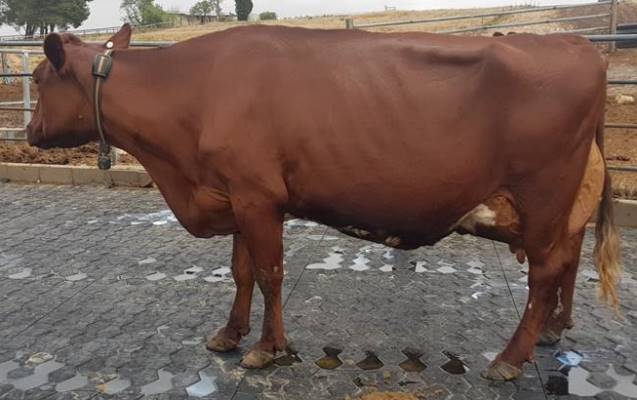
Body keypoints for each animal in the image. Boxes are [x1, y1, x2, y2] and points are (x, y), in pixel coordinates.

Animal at [27, 24, 620, 382]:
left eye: (35, 77)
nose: (29, 132)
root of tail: (578, 45)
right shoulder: (235, 195)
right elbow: (241, 272)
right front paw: (228, 334)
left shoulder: (258, 196)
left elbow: (269, 273)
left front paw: (267, 347)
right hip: (562, 206)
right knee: (565, 264)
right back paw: (551, 331)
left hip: (543, 196)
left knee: (544, 274)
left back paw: (509, 358)